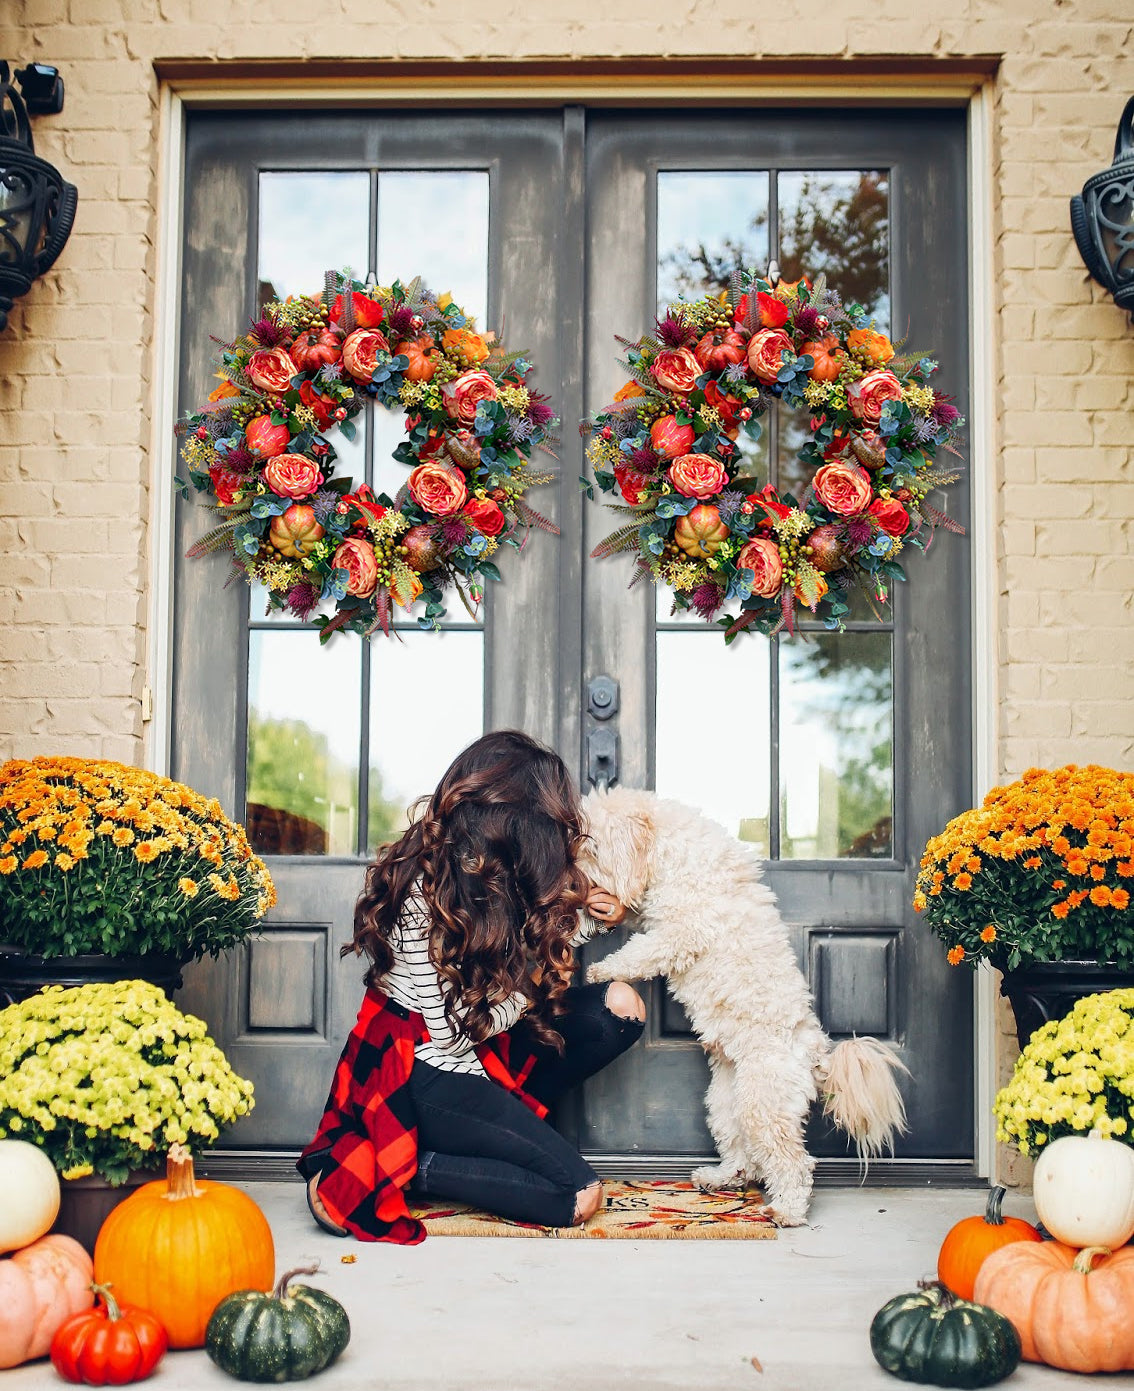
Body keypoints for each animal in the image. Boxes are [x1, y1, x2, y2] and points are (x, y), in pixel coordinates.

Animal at [581, 784, 907, 1229]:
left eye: (590, 846)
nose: (573, 877)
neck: (673, 853)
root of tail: (815, 1055)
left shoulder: (680, 931)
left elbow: (640, 952)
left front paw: (601, 969)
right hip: (725, 1104)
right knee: (743, 1156)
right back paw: (721, 1179)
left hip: (763, 1105)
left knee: (794, 1163)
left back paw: (786, 1210)